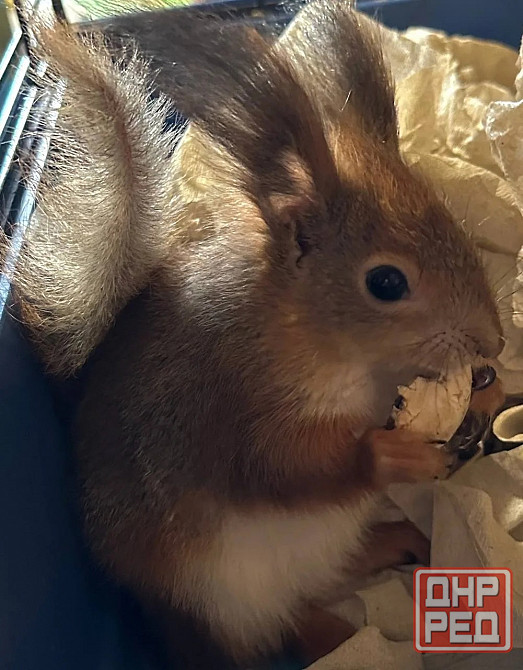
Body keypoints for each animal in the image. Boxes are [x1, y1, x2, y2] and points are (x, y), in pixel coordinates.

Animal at [5, 0, 506, 666]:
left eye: (451, 220)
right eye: (387, 283)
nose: (493, 343)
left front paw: (488, 390)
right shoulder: (225, 401)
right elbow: (278, 470)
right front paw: (389, 453)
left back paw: (399, 540)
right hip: (225, 602)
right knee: (288, 627)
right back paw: (339, 636)